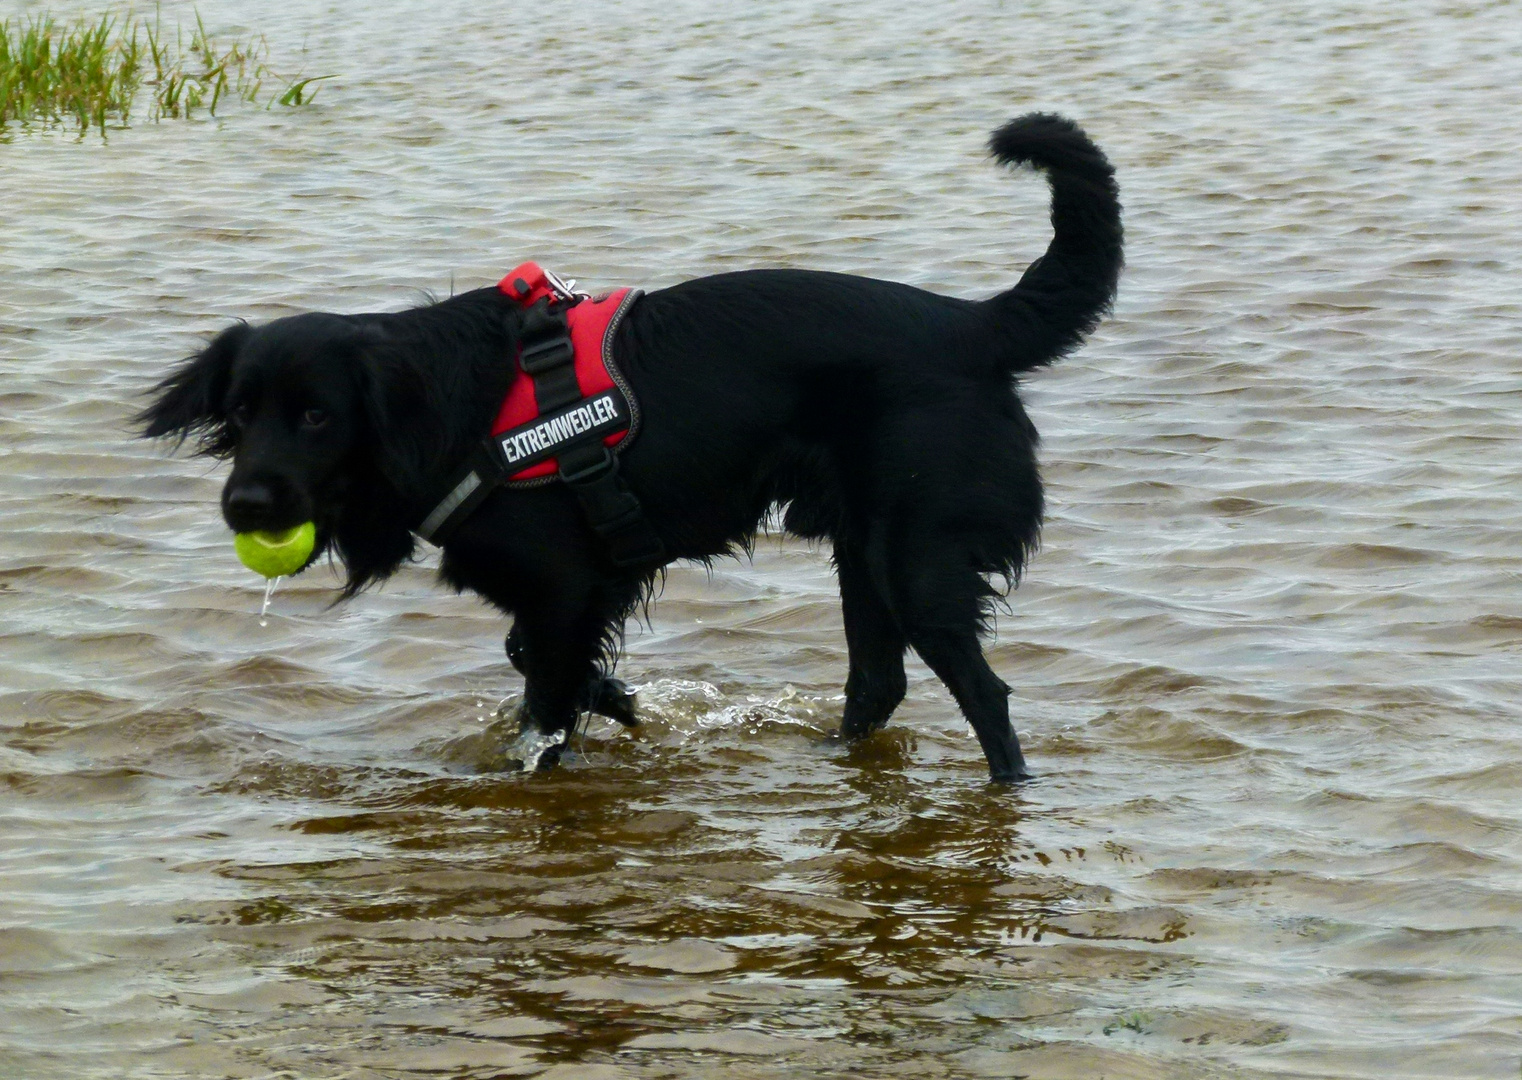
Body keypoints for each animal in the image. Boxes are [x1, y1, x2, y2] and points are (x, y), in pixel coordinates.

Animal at [143, 114, 1120, 784]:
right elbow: (538, 661)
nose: (246, 506)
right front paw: (615, 698)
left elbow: (539, 704)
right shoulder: (579, 592)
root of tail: (970, 324)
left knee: (983, 697)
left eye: (316, 418)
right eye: (241, 411)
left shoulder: (564, 587)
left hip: (915, 553)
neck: (456, 409)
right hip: (864, 549)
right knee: (876, 684)